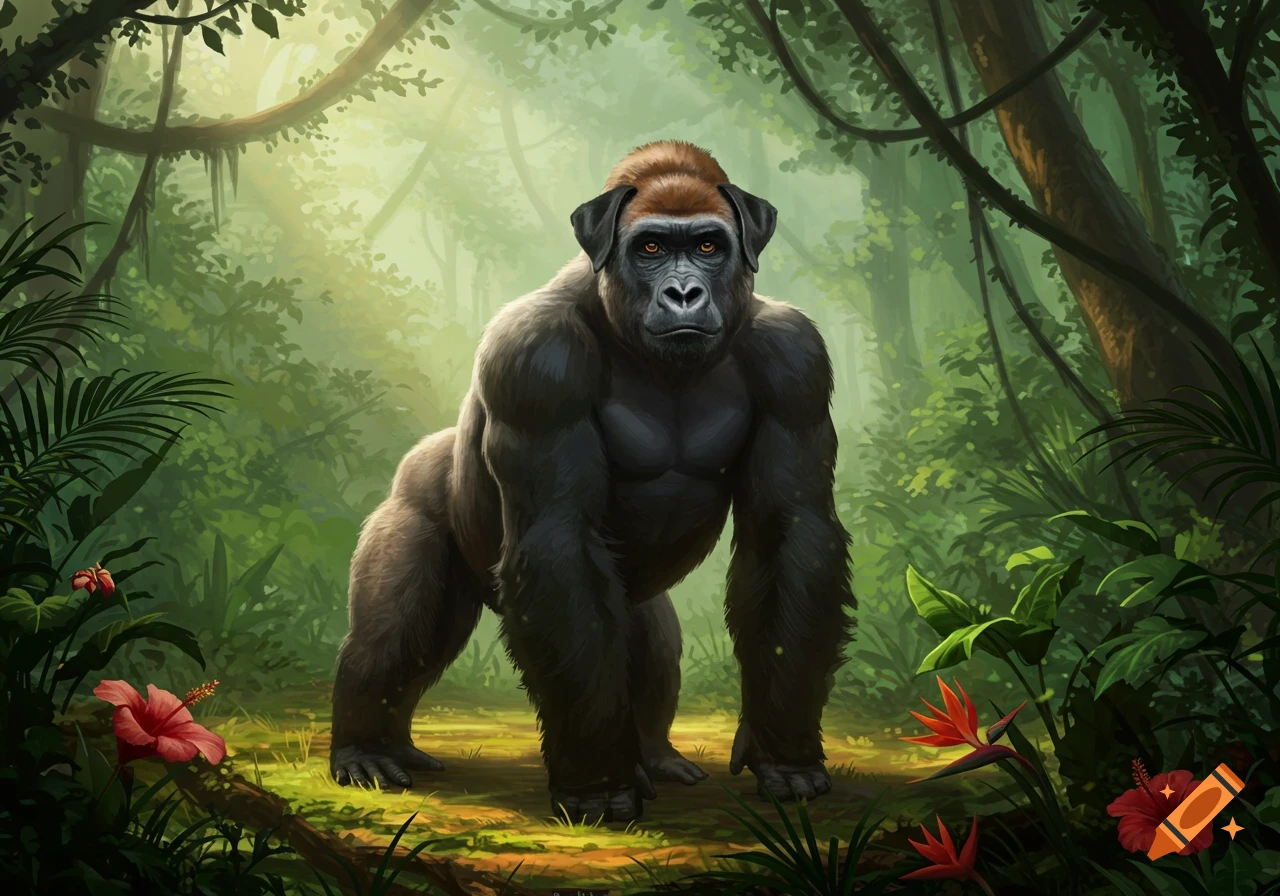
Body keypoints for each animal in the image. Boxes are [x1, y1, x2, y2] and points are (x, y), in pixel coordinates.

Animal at [328, 140, 856, 823]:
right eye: (650, 247)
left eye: (709, 245)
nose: (683, 292)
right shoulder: (534, 359)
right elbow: (560, 542)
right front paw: (598, 785)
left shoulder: (795, 359)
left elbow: (790, 535)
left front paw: (783, 750)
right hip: (412, 505)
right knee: (397, 636)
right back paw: (368, 744)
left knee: (648, 639)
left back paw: (653, 754)